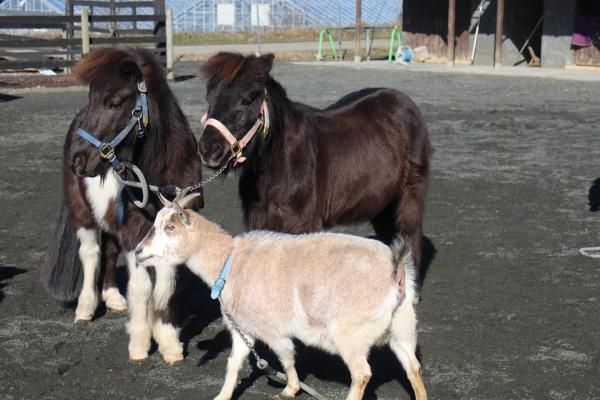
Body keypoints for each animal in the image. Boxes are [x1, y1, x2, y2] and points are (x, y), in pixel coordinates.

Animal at [41, 47, 204, 362]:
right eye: (91, 97)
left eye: (115, 103)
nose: (77, 159)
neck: (159, 182)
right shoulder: (133, 232)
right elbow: (141, 288)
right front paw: (140, 343)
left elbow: (168, 285)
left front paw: (168, 341)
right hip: (83, 214)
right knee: (91, 254)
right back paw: (86, 307)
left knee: (108, 252)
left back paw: (114, 298)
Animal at [135, 195, 426, 400]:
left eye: (170, 226)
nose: (138, 251)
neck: (230, 262)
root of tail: (396, 270)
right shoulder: (243, 329)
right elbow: (233, 363)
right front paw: (222, 396)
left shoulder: (273, 329)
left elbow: (286, 357)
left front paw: (290, 389)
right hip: (402, 327)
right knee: (413, 367)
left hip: (351, 333)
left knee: (362, 374)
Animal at [199, 50, 428, 294]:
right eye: (209, 97)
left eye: (248, 98)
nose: (208, 150)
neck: (280, 163)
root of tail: (404, 101)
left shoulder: (302, 226)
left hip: (410, 194)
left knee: (410, 233)